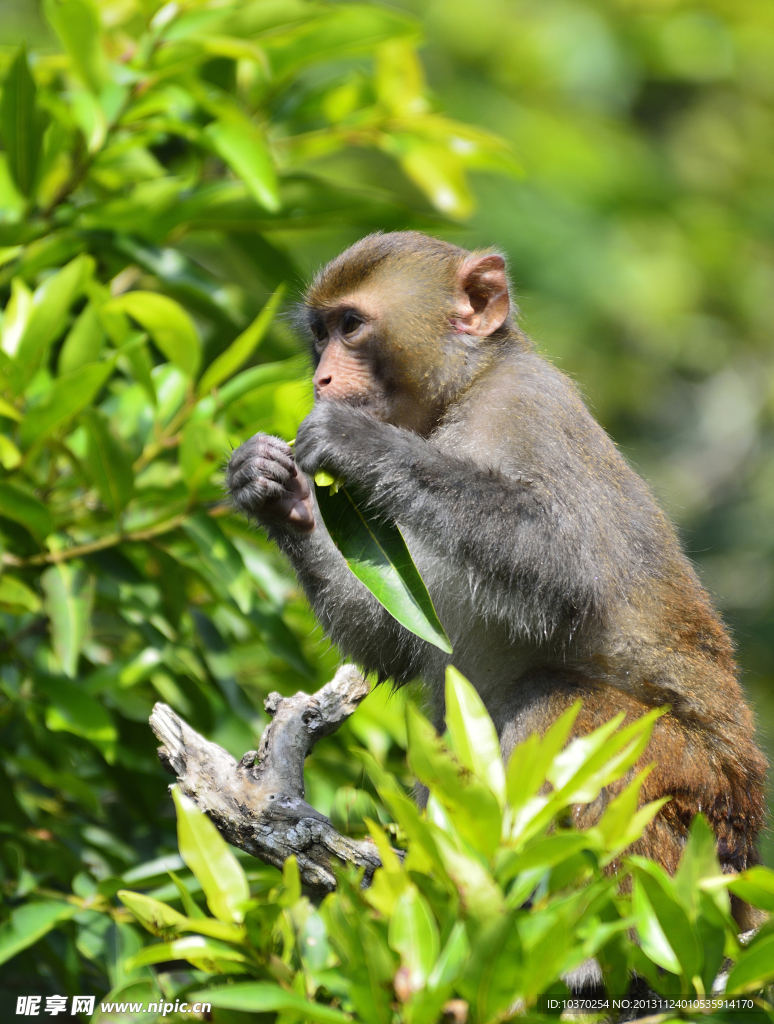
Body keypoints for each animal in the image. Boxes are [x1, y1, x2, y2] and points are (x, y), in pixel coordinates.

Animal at [225, 232, 769, 921]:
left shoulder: (527, 409)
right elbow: (394, 641)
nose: (320, 377)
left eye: (351, 327)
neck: (465, 392)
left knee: (560, 704)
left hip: (694, 800)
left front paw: (360, 443)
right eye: (319, 335)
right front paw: (272, 489)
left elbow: (568, 572)